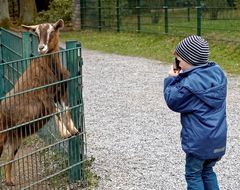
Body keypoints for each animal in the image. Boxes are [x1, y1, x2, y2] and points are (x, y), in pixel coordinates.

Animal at [0, 19, 78, 186]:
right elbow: (57, 112)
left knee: (9, 157)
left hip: (15, 136)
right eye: (35, 33)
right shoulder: (44, 96)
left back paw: (10, 181)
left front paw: (73, 130)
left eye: (52, 31)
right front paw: (65, 133)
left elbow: (66, 109)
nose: (41, 48)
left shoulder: (61, 92)